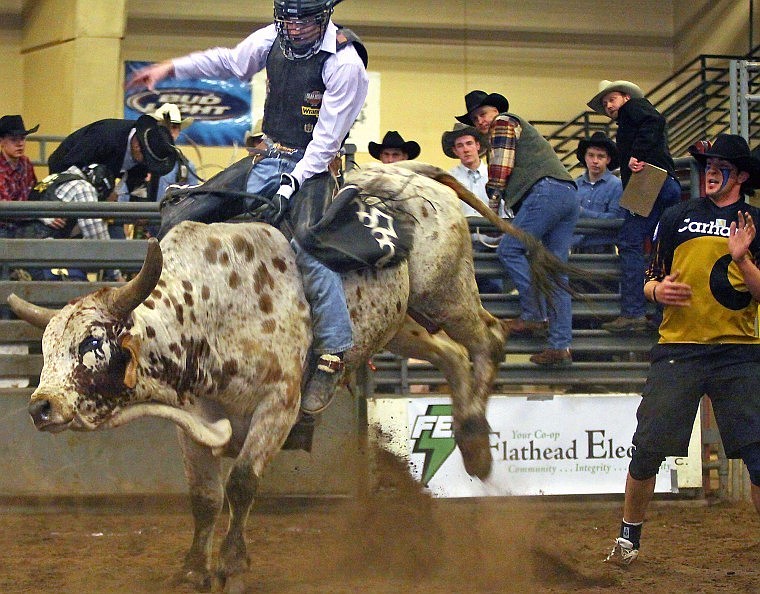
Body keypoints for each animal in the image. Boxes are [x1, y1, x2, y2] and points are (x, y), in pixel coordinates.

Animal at [7, 161, 568, 588]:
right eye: (46, 347)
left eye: (91, 343)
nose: (41, 406)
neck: (209, 305)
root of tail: (409, 172)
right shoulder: (193, 421)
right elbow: (204, 498)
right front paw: (194, 569)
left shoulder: (278, 406)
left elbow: (241, 484)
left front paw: (232, 564)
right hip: (401, 323)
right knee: (451, 355)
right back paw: (471, 448)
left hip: (446, 292)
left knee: (488, 338)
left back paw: (476, 443)